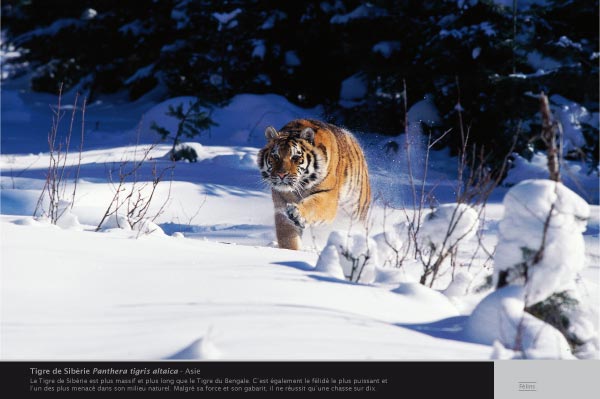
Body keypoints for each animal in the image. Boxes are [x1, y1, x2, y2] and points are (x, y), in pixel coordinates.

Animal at [256, 118, 370, 250]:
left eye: (295, 157)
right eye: (275, 156)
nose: (281, 174)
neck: (301, 185)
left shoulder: (328, 196)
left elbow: (313, 205)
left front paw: (297, 213)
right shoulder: (281, 206)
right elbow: (288, 238)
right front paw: (290, 251)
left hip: (356, 211)